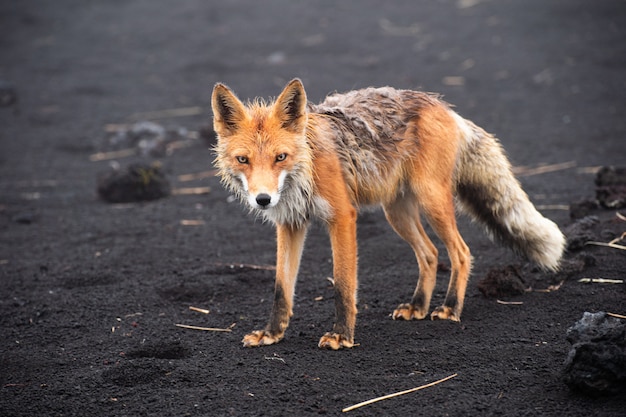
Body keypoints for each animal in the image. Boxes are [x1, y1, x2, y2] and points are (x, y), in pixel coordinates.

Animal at [211, 77, 564, 348]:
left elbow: (343, 285)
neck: (306, 166)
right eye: (243, 160)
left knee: (461, 252)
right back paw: (418, 306)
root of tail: (445, 107)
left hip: (432, 201)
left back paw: (450, 308)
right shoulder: (291, 223)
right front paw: (272, 334)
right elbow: (281, 288)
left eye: (280, 157)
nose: (263, 199)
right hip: (397, 213)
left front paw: (342, 336)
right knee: (431, 254)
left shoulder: (343, 216)